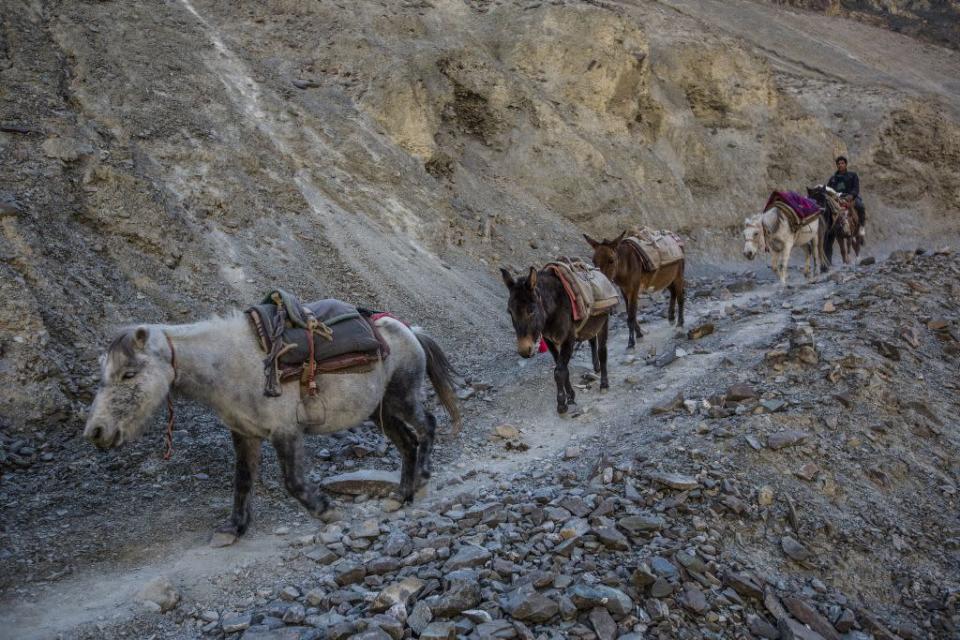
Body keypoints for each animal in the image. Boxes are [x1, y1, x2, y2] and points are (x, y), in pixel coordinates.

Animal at [84, 312, 460, 544]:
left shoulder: (285, 432)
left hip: (401, 397)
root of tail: (410, 331)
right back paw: (400, 496)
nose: (96, 432)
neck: (231, 365)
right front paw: (233, 529)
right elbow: (242, 481)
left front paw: (327, 511)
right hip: (380, 410)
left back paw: (422, 479)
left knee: (426, 426)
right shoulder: (245, 435)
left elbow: (293, 483)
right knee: (407, 442)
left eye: (129, 374)